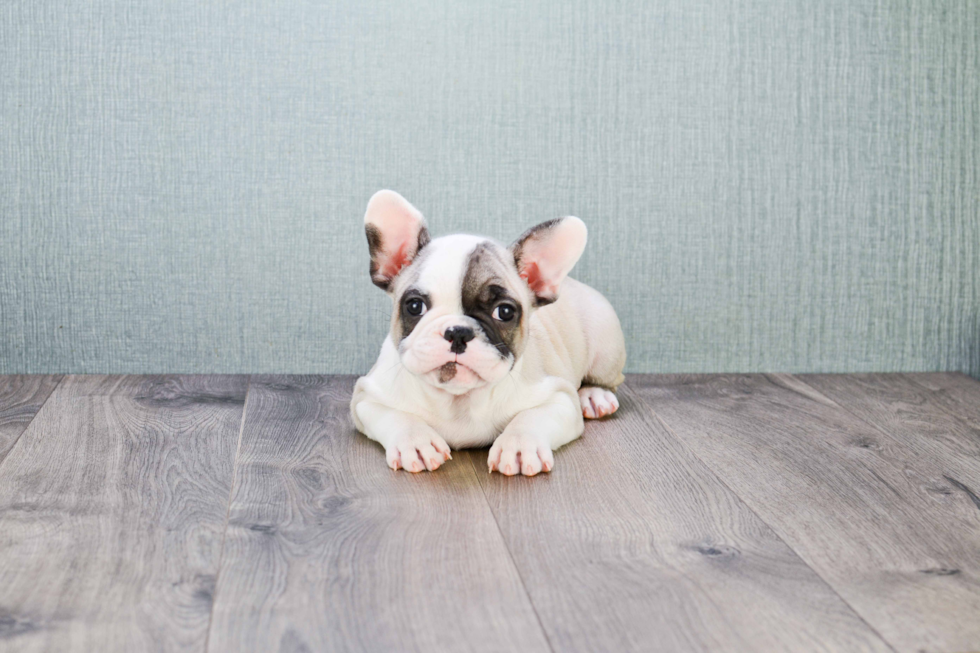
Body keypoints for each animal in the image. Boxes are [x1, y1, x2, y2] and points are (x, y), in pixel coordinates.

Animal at [352, 188, 628, 474]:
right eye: (414, 306)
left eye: (504, 312)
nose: (458, 332)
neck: (458, 399)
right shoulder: (366, 398)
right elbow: (396, 416)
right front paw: (415, 441)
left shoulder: (560, 398)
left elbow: (531, 417)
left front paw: (520, 444)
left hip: (604, 342)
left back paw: (595, 396)